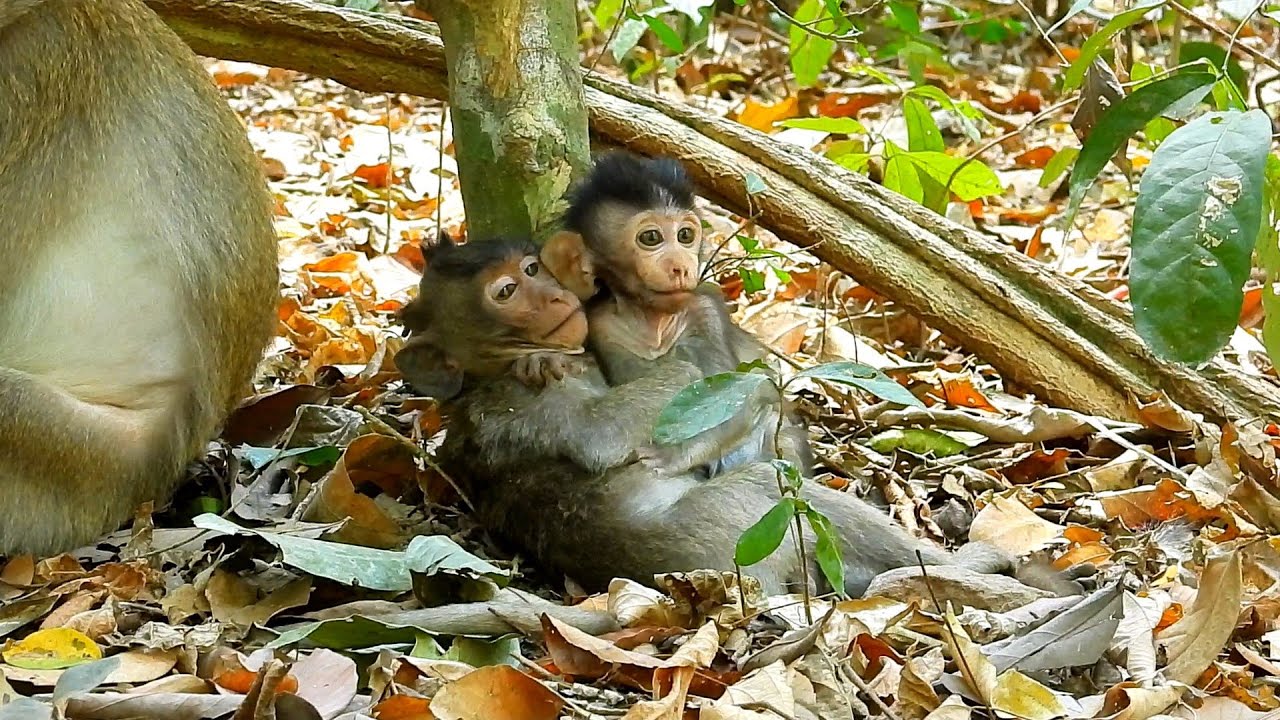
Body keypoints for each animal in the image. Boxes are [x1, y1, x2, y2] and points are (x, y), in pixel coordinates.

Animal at [396, 235, 1081, 598]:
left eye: (531, 269)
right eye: (507, 292)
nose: (554, 297)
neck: (493, 368)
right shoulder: (536, 399)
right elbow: (598, 435)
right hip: (743, 534)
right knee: (783, 490)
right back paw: (965, 569)